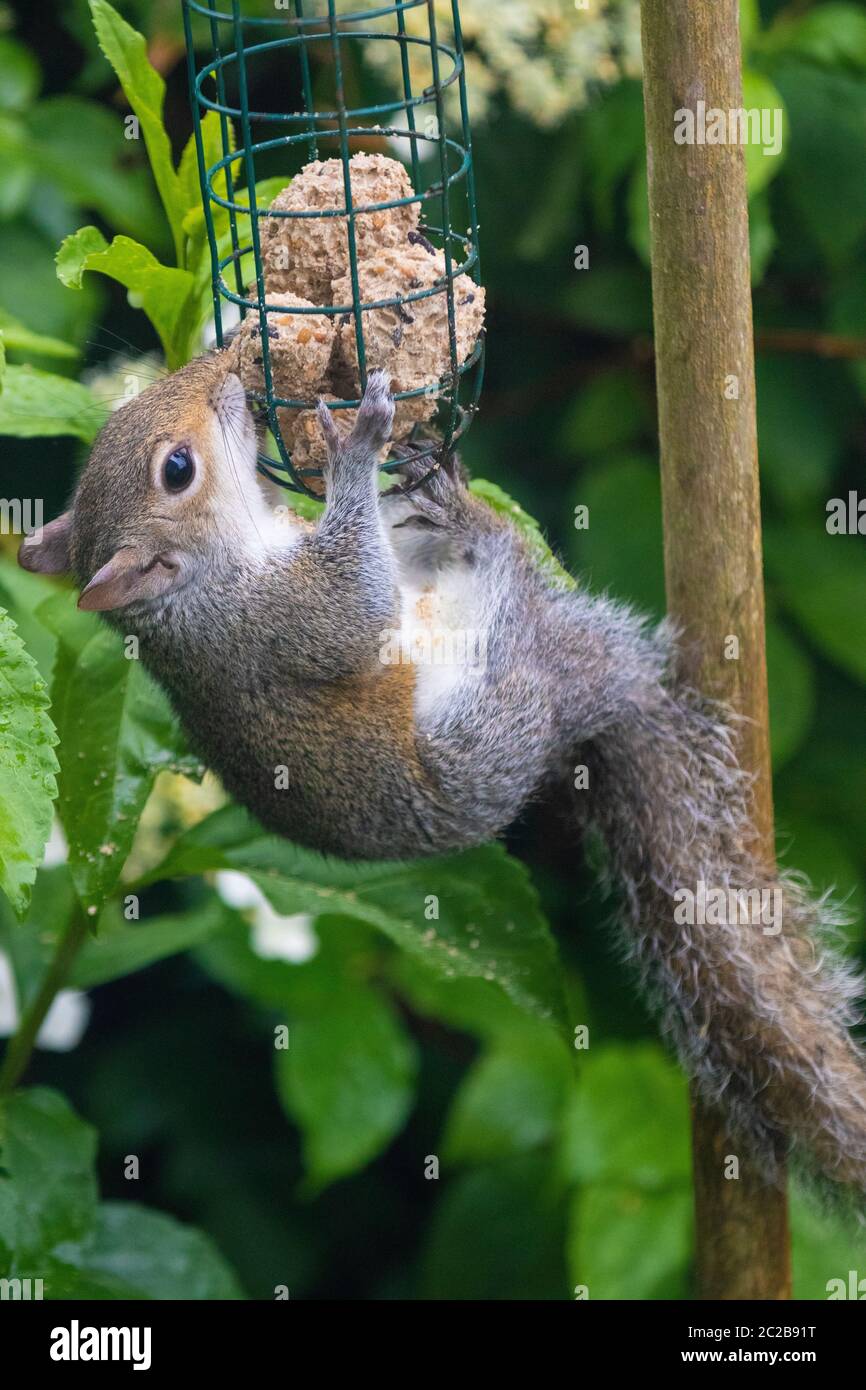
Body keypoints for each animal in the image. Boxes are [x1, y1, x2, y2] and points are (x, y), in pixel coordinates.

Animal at [19, 352, 866, 1201]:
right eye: (177, 470)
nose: (223, 367)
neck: (201, 582)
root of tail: (581, 706)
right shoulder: (278, 621)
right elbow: (356, 606)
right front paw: (355, 450)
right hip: (485, 726)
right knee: (509, 601)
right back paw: (490, 553)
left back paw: (447, 506)